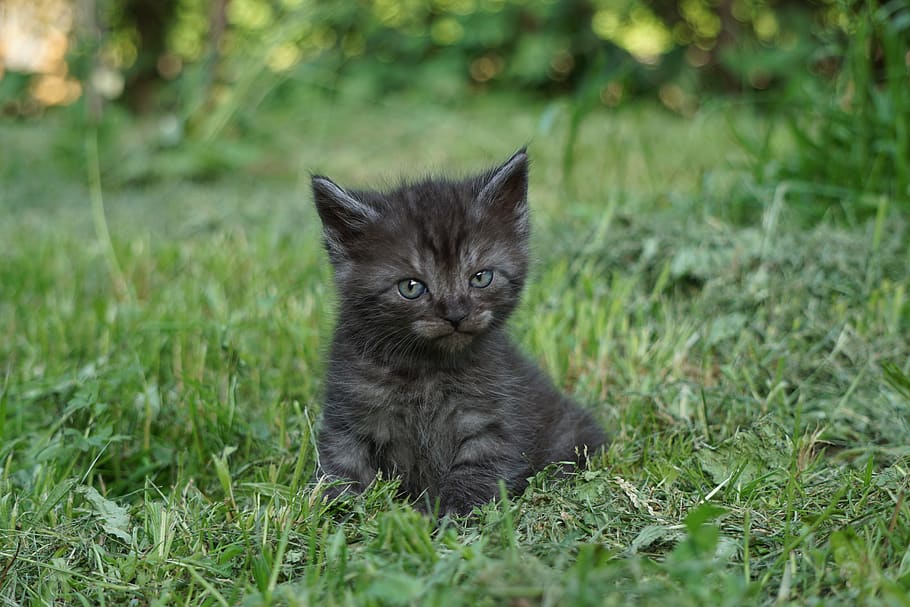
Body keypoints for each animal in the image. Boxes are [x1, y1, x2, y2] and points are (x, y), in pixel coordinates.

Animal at [314, 150, 604, 516]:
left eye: (481, 278)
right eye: (411, 287)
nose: (455, 314)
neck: (425, 369)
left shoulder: (491, 424)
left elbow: (474, 475)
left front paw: (448, 517)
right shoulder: (348, 415)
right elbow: (340, 468)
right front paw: (335, 512)